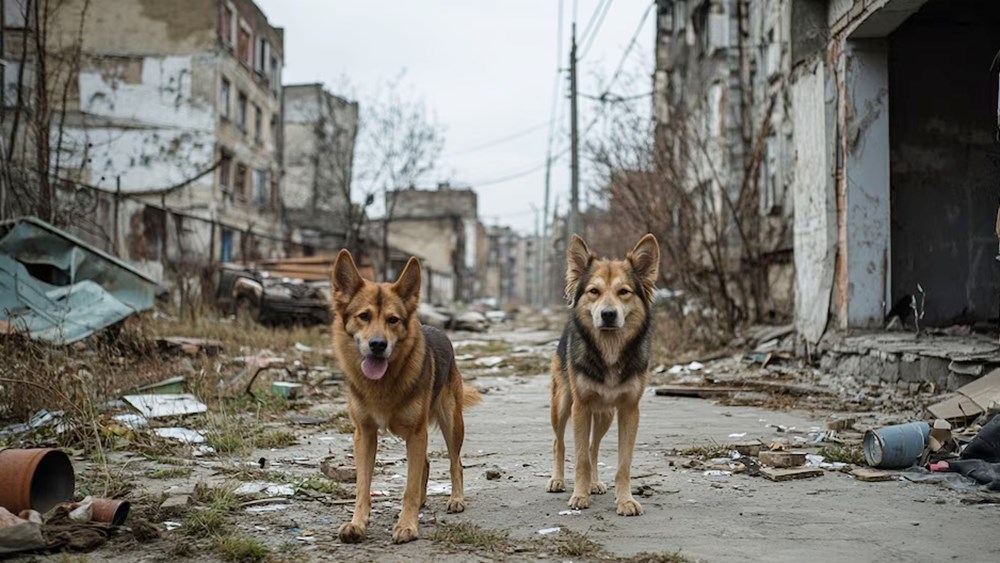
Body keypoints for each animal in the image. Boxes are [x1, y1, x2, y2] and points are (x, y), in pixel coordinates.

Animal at [332, 251, 480, 540]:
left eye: (393, 320)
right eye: (363, 316)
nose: (378, 345)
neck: (383, 384)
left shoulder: (416, 433)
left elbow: (409, 487)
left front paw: (407, 525)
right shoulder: (364, 435)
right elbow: (362, 485)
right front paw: (358, 522)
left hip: (450, 424)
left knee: (455, 464)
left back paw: (456, 499)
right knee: (425, 464)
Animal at [544, 232, 660, 516]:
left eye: (624, 292)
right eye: (594, 291)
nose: (608, 314)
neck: (609, 351)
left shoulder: (629, 410)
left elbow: (622, 463)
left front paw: (625, 500)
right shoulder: (581, 408)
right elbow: (580, 459)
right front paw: (579, 495)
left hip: (606, 415)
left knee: (592, 447)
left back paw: (594, 483)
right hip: (561, 405)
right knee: (560, 443)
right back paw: (558, 480)